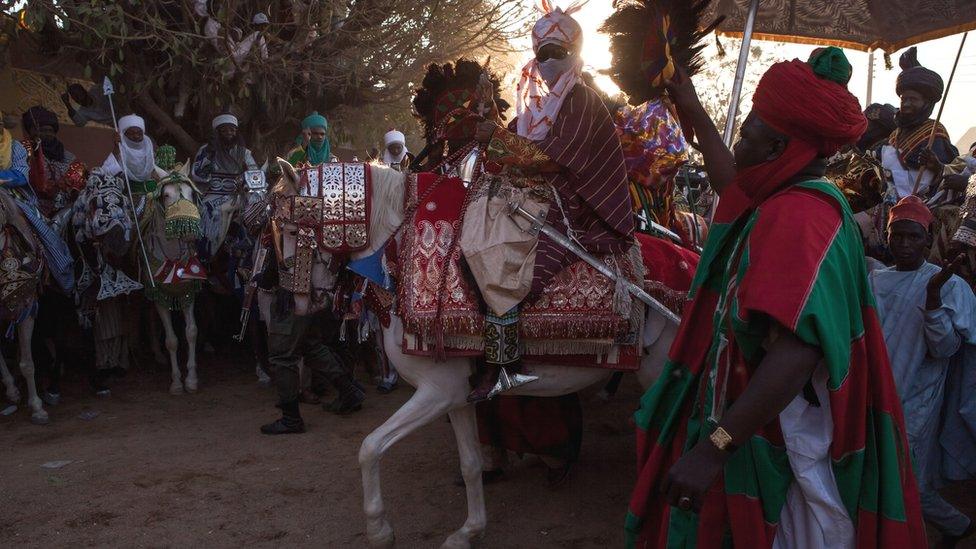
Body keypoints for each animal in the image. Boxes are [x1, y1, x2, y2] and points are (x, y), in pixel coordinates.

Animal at [276, 161, 680, 544]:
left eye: (292, 230)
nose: (300, 304)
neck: (399, 251)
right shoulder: (456, 396)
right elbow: (469, 464)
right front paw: (469, 531)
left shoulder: (436, 392)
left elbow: (369, 447)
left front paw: (379, 530)